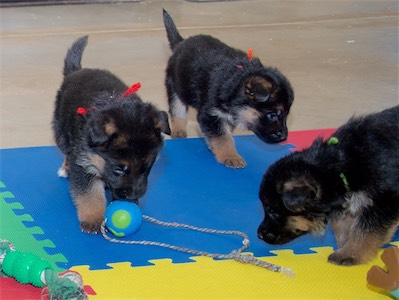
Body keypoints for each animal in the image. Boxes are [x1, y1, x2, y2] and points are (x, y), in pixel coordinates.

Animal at [52, 36, 171, 233]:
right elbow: (90, 194)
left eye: (148, 166)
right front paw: (93, 218)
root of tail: (77, 71)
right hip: (61, 131)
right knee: (67, 150)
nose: (135, 194)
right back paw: (65, 167)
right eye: (119, 168)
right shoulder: (83, 163)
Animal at [162, 8, 294, 169]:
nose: (284, 137)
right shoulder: (211, 114)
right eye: (272, 115)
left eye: (286, 114)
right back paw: (179, 130)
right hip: (176, 87)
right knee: (177, 110)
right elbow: (222, 137)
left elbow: (226, 133)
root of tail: (181, 43)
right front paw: (230, 156)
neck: (236, 83)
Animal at [258, 105, 398, 264]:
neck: (341, 163)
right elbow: (342, 223)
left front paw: (350, 253)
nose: (259, 235)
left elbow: (365, 231)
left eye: (273, 211)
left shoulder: (383, 203)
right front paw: (344, 243)